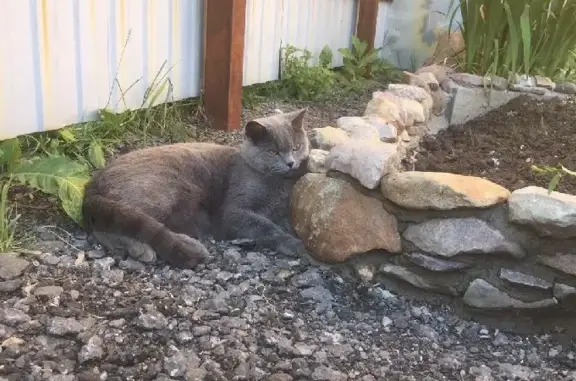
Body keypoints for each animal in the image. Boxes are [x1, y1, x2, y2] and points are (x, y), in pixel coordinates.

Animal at [81, 108, 310, 268]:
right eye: (273, 152)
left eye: (297, 147)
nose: (290, 163)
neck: (277, 184)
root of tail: (93, 182)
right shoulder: (234, 211)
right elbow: (265, 226)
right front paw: (293, 244)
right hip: (160, 192)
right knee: (114, 226)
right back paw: (149, 248)